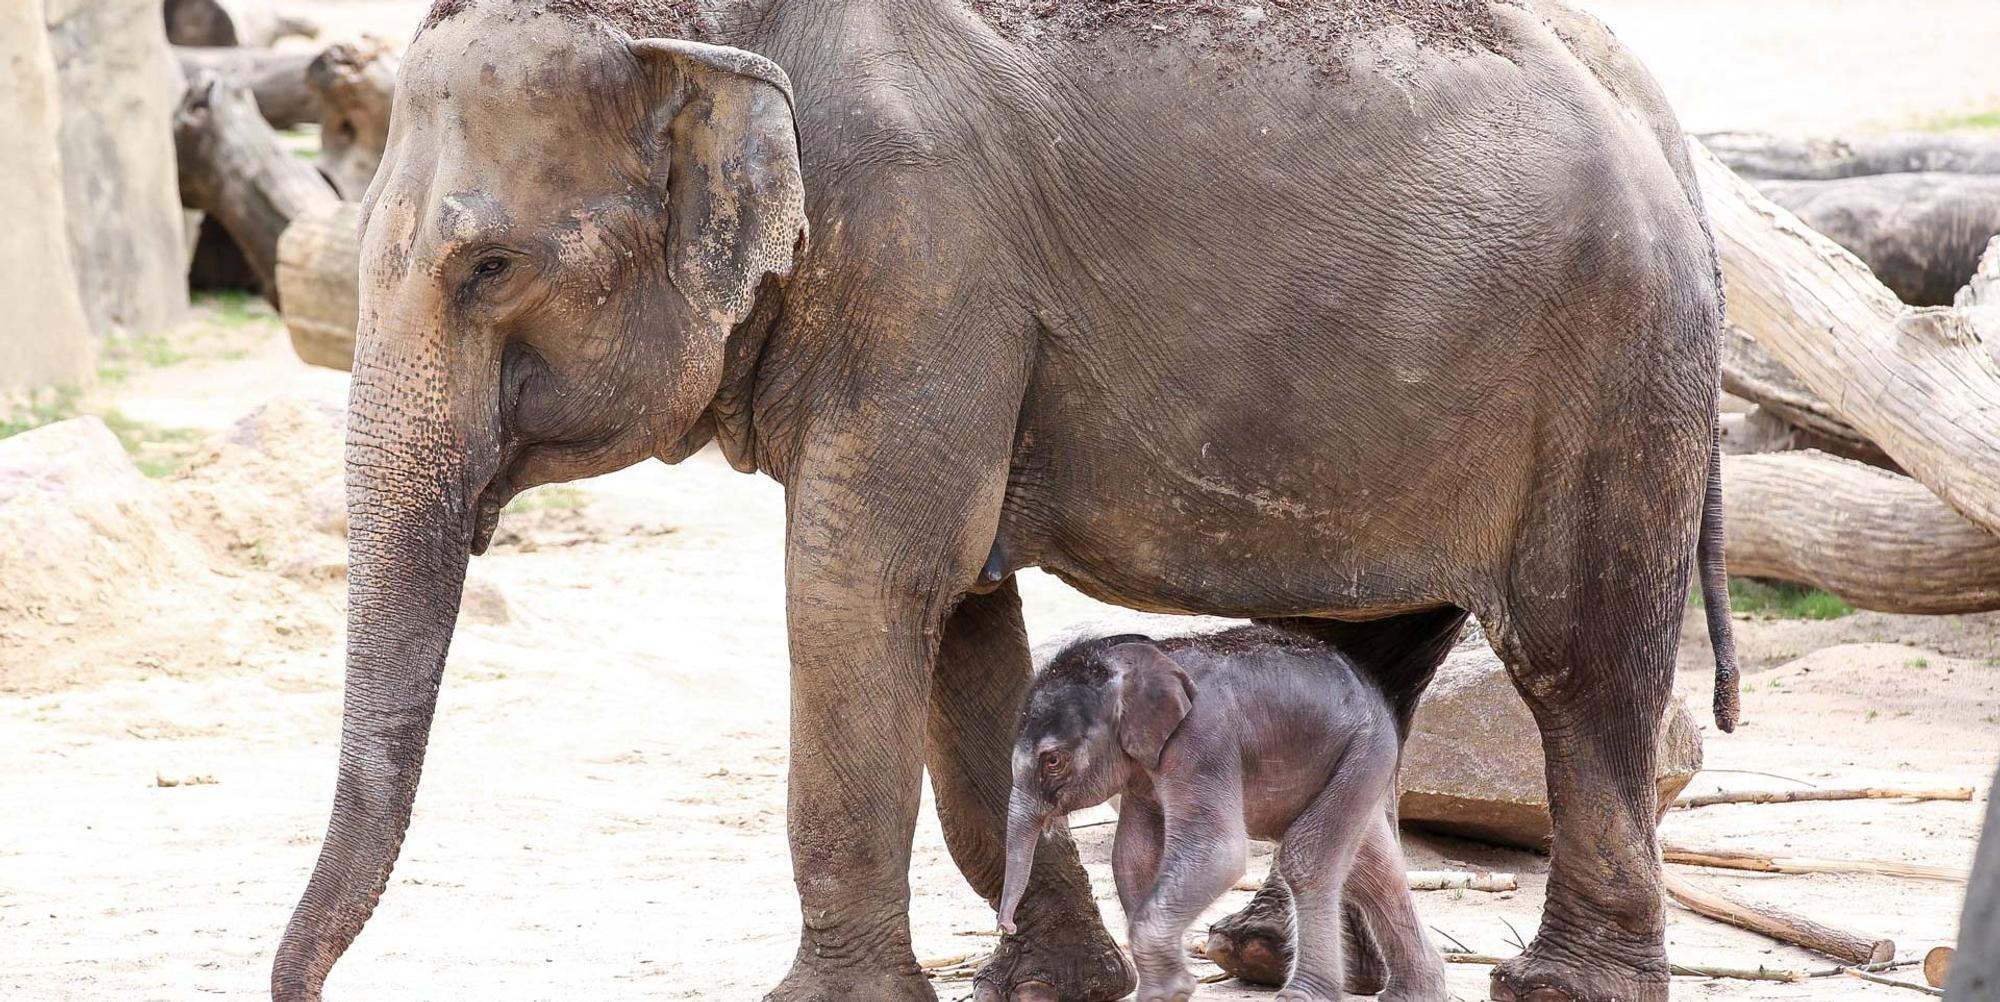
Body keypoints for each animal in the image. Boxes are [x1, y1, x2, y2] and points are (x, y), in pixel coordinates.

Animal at [996, 628, 1450, 1002]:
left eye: (1052, 760)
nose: (1007, 927)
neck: (1140, 657)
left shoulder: (1201, 742)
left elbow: (1218, 852)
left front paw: (1168, 993)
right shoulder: (1142, 771)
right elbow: (1132, 856)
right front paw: (1172, 988)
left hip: (1365, 749)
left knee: (1309, 860)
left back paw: (1302, 996)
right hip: (1360, 761)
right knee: (1372, 871)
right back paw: (1413, 995)